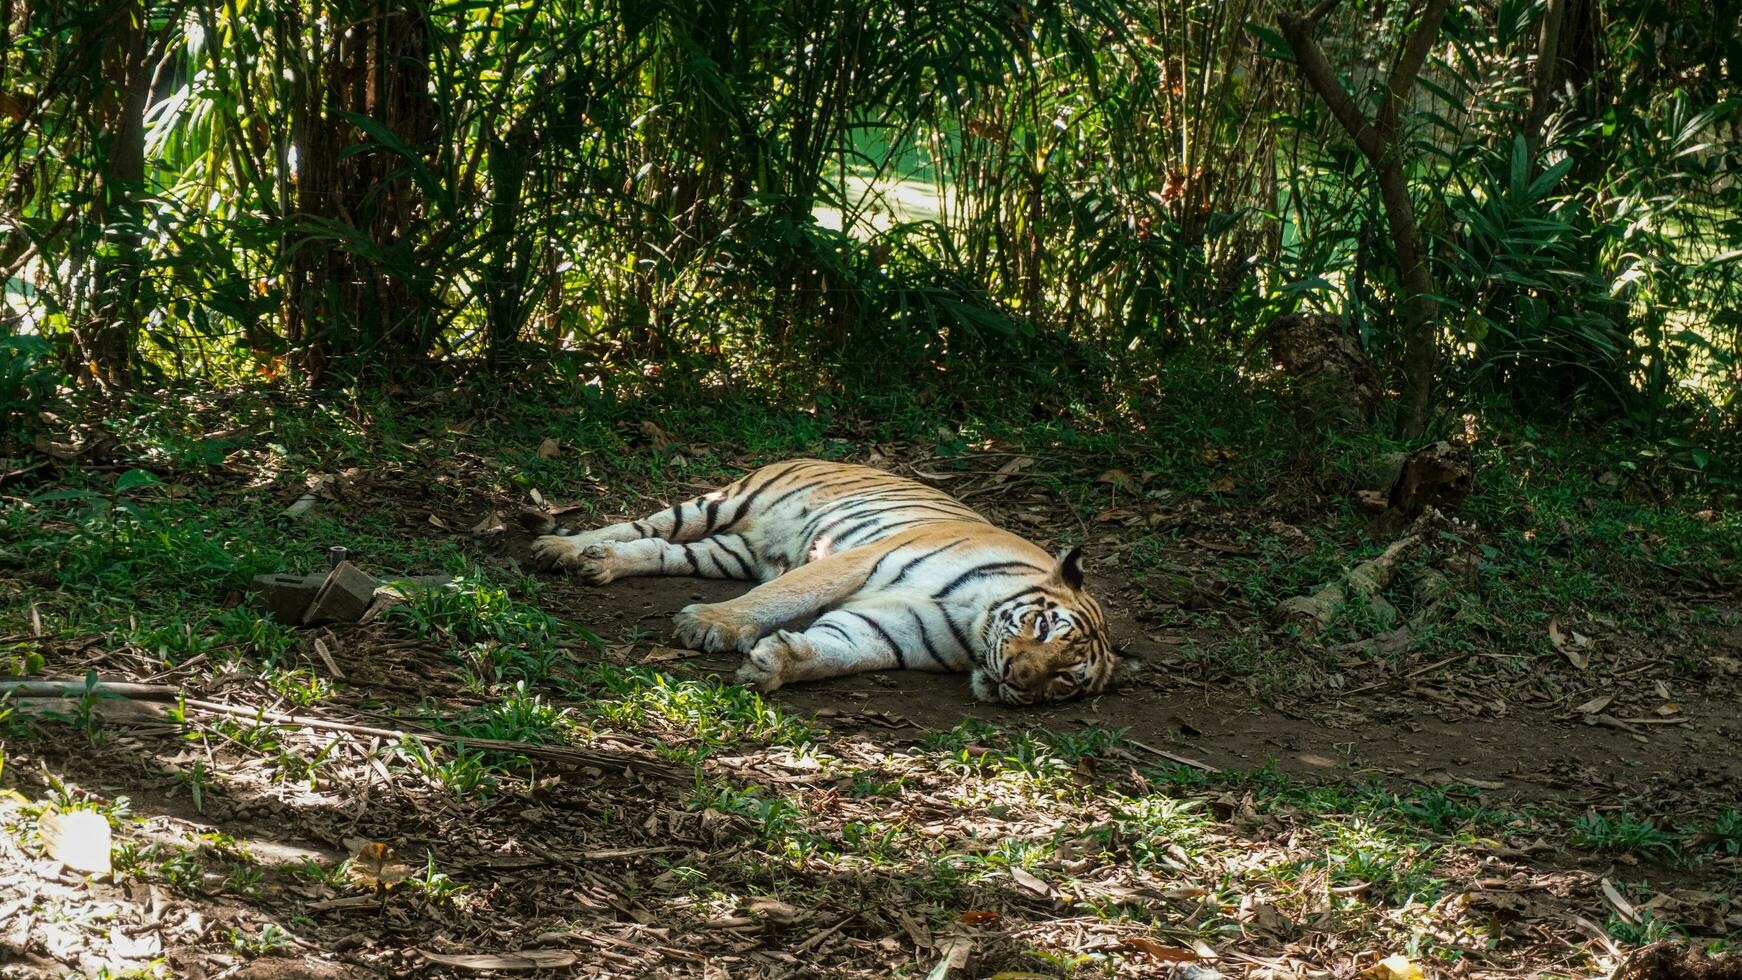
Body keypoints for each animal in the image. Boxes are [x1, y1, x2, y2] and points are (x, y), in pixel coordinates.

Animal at [522, 459, 1114, 706]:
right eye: (1042, 626)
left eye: (1063, 680)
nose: (1017, 678)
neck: (974, 624)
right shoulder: (857, 560)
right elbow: (780, 596)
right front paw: (712, 623)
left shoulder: (895, 628)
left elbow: (838, 650)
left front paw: (774, 663)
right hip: (718, 504)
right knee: (640, 525)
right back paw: (563, 548)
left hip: (727, 553)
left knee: (660, 550)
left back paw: (600, 563)